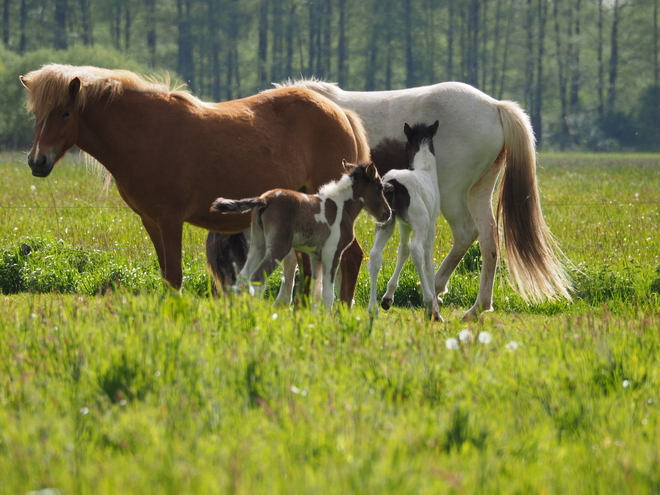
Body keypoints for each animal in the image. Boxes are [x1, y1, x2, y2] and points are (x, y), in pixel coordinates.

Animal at [19, 63, 372, 300]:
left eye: (65, 113)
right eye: (37, 115)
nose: (37, 161)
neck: (145, 133)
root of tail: (341, 113)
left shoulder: (170, 220)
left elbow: (175, 276)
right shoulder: (150, 221)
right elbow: (165, 274)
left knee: (350, 256)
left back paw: (343, 309)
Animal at [210, 163, 392, 310]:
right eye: (380, 187)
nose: (387, 213)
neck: (342, 206)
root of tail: (264, 199)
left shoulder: (315, 254)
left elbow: (316, 290)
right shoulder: (332, 253)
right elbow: (327, 294)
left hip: (258, 246)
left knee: (242, 278)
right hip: (278, 249)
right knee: (256, 279)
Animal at [368, 120, 440, 322]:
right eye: (407, 145)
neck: (426, 172)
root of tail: (392, 183)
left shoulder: (403, 224)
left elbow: (403, 250)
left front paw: (387, 298)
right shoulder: (430, 225)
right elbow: (428, 261)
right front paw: (435, 310)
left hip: (385, 223)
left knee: (375, 255)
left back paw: (373, 307)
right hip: (421, 223)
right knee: (417, 250)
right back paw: (428, 301)